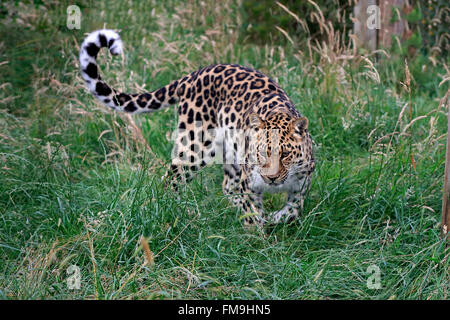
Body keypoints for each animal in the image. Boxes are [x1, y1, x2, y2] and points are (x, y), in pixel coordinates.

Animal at [79, 29, 314, 225]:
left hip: (230, 149)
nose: (271, 178)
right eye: (261, 152)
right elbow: (253, 215)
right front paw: (258, 240)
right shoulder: (250, 184)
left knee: (227, 185)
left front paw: (275, 218)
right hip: (196, 145)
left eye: (285, 154)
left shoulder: (302, 184)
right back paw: (171, 212)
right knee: (171, 179)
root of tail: (192, 75)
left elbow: (294, 210)